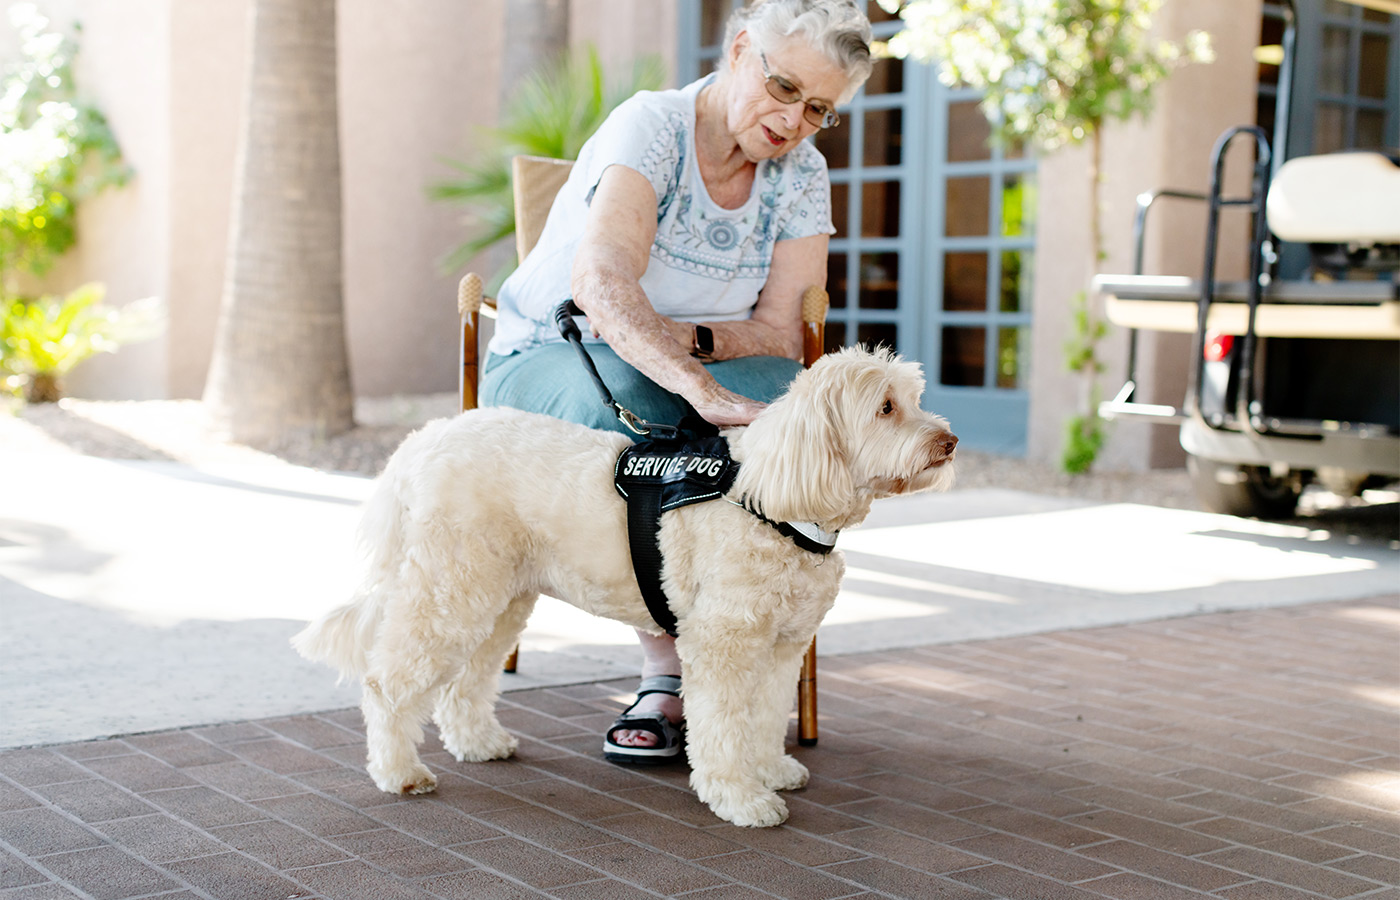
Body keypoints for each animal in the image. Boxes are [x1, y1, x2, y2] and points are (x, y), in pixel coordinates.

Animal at [291, 347, 957, 828]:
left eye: (915, 399)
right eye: (885, 408)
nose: (949, 442)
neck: (772, 498)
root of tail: (422, 440)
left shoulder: (782, 647)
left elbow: (766, 717)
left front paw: (770, 769)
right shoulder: (724, 644)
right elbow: (723, 726)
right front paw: (740, 799)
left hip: (497, 596)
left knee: (467, 679)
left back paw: (478, 742)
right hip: (450, 589)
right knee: (388, 683)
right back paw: (399, 772)